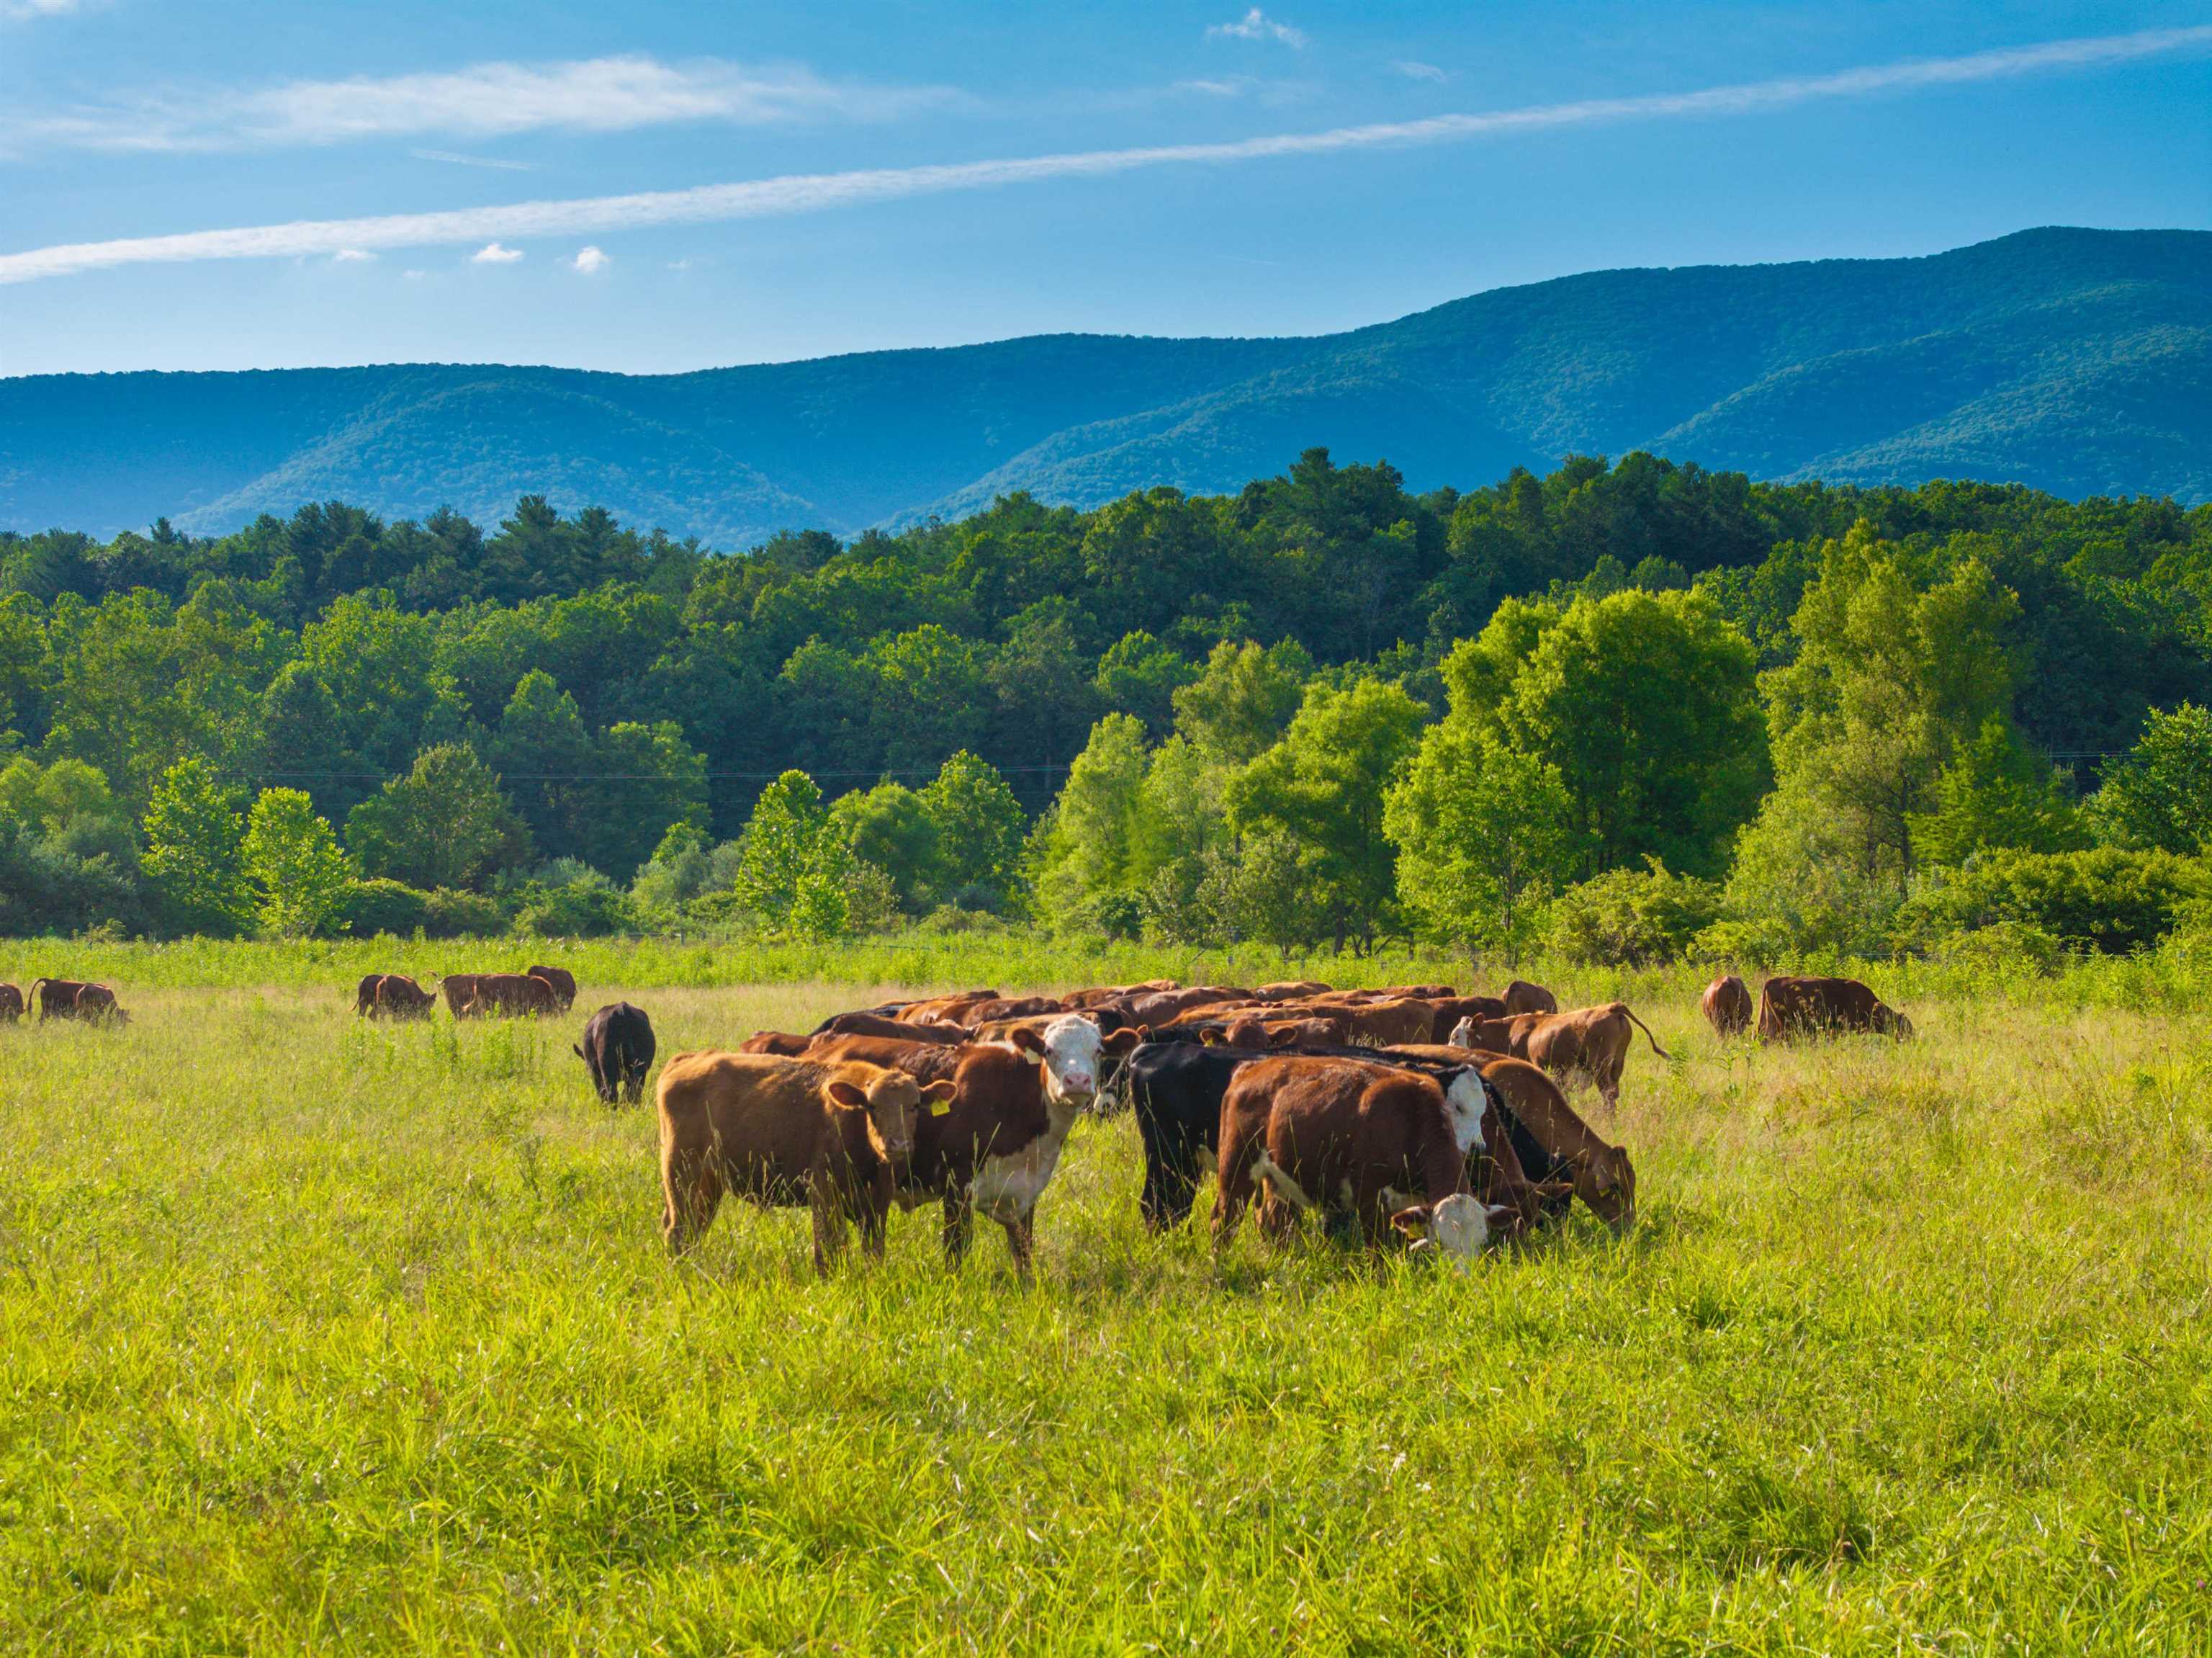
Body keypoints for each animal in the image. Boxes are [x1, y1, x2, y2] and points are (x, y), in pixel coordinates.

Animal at [656, 1052, 955, 1271]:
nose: (898, 1144)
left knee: (694, 1229)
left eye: (914, 1106)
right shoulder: (824, 1194)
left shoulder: (877, 1204)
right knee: (677, 1230)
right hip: (681, 1175)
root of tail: (687, 1059)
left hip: (708, 1185)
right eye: (872, 1106)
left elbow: (873, 1251)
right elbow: (829, 1248)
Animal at [807, 1015, 1143, 1274]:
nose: (1077, 1081)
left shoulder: (1026, 1190)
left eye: (1098, 1050)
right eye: (1049, 1050)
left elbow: (1024, 1253)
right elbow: (956, 1252)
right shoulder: (957, 1185)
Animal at [1212, 1056, 1507, 1261]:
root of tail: (1251, 1067)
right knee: (1223, 1221)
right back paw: (1220, 1268)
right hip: (1236, 1169)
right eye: (1441, 1243)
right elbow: (1378, 1251)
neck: (1410, 1116)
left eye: (1481, 1243)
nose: (1461, 1279)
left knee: (1272, 1222)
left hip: (1279, 1179)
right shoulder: (1369, 1197)